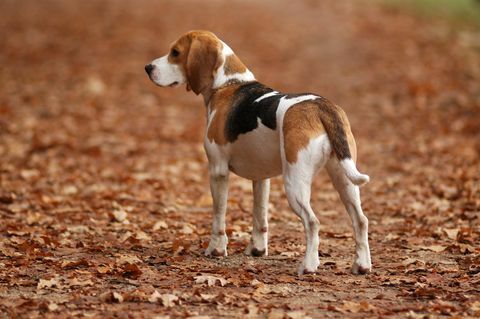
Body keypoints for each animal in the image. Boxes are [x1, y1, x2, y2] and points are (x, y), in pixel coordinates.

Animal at [145, 30, 372, 276]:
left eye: (175, 52)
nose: (148, 67)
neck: (228, 83)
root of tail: (322, 107)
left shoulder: (218, 171)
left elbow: (218, 216)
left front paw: (216, 249)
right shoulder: (262, 178)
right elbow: (259, 216)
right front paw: (257, 249)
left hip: (295, 183)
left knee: (313, 222)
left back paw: (309, 266)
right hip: (344, 179)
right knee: (361, 220)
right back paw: (362, 265)